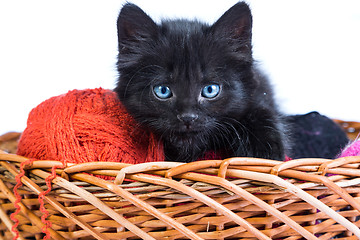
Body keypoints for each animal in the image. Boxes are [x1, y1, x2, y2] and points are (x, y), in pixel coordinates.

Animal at [114, 1, 286, 162]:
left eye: (210, 90)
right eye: (163, 90)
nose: (188, 117)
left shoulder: (259, 93)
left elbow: (260, 111)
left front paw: (263, 154)